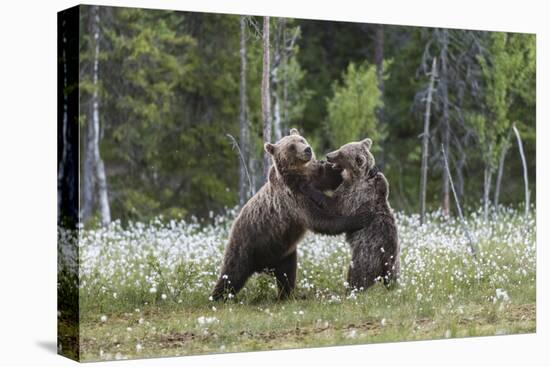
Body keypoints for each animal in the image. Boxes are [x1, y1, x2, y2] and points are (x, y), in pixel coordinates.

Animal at [211, 129, 376, 302]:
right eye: (291, 146)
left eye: (302, 140)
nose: (308, 149)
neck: (300, 175)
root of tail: (262, 267)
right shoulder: (292, 197)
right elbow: (319, 219)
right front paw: (361, 217)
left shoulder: (315, 177)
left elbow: (330, 177)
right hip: (246, 244)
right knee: (231, 274)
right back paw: (216, 297)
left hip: (284, 253)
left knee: (287, 275)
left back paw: (287, 295)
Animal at [302, 139, 402, 294]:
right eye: (341, 147)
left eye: (341, 153)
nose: (328, 156)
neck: (355, 178)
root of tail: (387, 257)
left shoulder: (355, 197)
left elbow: (334, 206)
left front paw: (309, 188)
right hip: (395, 263)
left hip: (366, 253)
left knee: (358, 274)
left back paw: (351, 290)